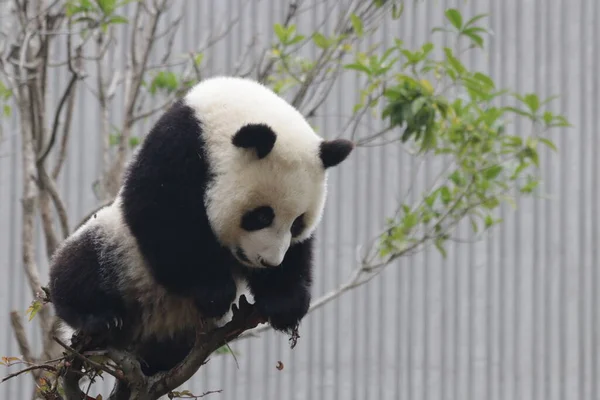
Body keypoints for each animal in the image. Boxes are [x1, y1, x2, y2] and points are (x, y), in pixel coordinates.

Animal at [50, 75, 356, 376]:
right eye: (261, 216)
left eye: (297, 224)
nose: (268, 262)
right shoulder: (176, 148)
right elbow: (162, 217)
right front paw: (213, 290)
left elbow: (298, 253)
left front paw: (284, 302)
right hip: (118, 249)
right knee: (80, 268)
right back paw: (99, 316)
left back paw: (157, 363)